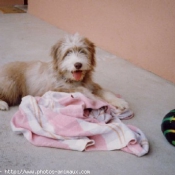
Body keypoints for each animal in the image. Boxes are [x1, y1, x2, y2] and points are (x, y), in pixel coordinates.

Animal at [0, 33, 129, 110]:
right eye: (68, 53)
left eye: (82, 51)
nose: (78, 64)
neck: (69, 78)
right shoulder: (54, 89)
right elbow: (81, 90)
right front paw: (98, 100)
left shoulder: (92, 85)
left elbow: (105, 92)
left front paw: (119, 101)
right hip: (10, 85)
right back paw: (2, 104)